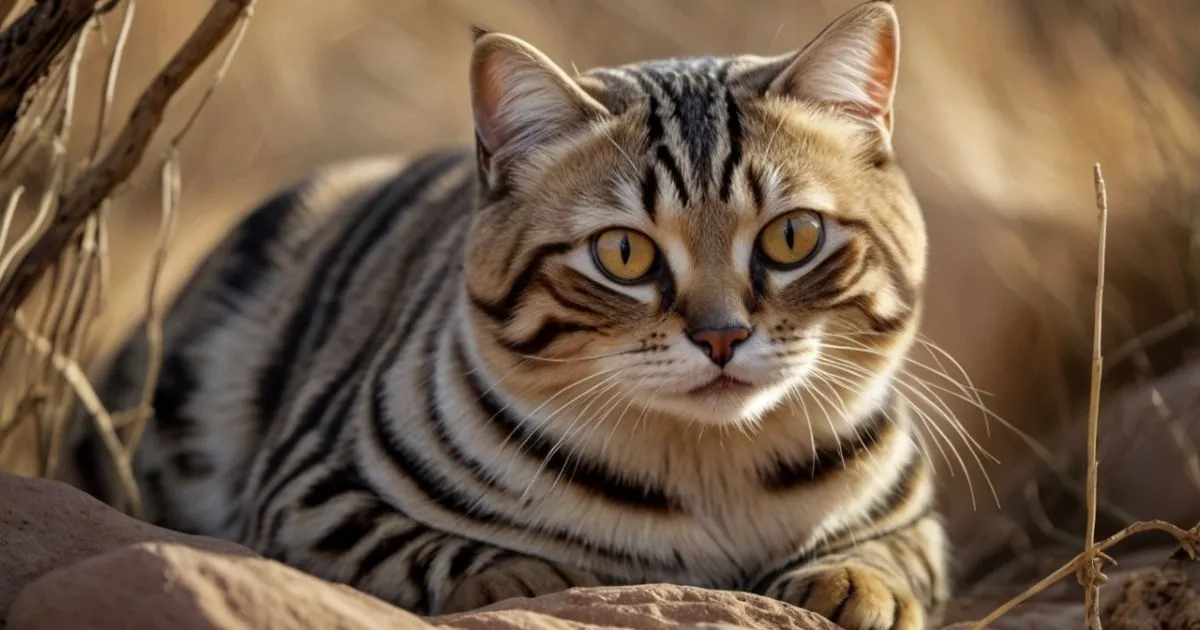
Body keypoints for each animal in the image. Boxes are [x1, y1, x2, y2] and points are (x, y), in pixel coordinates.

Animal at [70, 2, 945, 624]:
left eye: (792, 237)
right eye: (623, 254)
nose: (722, 336)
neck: (709, 473)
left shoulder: (919, 518)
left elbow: (896, 556)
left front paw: (855, 584)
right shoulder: (310, 494)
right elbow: (448, 551)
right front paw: (526, 574)